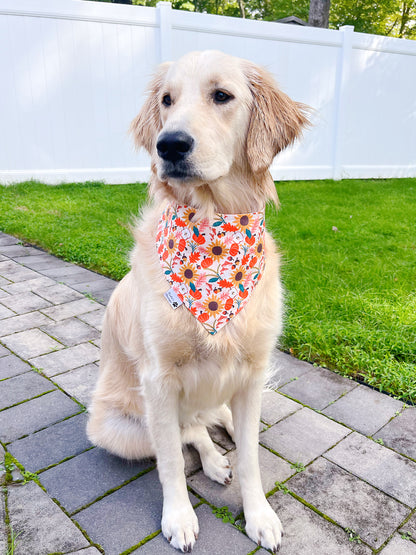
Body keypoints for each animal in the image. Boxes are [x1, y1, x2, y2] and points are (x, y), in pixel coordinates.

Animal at [87, 51, 308, 552]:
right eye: (167, 101)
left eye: (222, 95)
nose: (169, 145)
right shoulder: (158, 379)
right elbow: (171, 459)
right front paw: (179, 518)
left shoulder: (251, 373)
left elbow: (251, 458)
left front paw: (259, 515)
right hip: (119, 428)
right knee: (188, 431)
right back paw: (212, 460)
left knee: (214, 420)